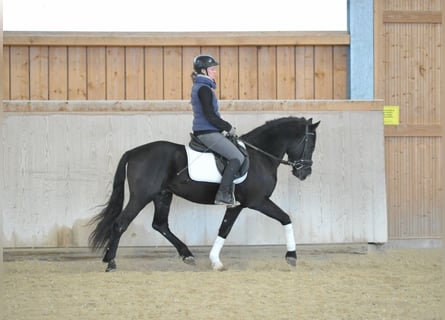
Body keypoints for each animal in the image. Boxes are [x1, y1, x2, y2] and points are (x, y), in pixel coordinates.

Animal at [88, 116, 320, 272]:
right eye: (310, 143)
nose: (305, 173)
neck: (259, 156)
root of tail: (133, 152)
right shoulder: (256, 201)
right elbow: (285, 218)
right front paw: (291, 256)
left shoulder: (237, 205)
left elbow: (224, 229)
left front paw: (215, 260)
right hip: (141, 197)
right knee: (120, 223)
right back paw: (111, 262)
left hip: (162, 195)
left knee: (160, 224)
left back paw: (187, 255)